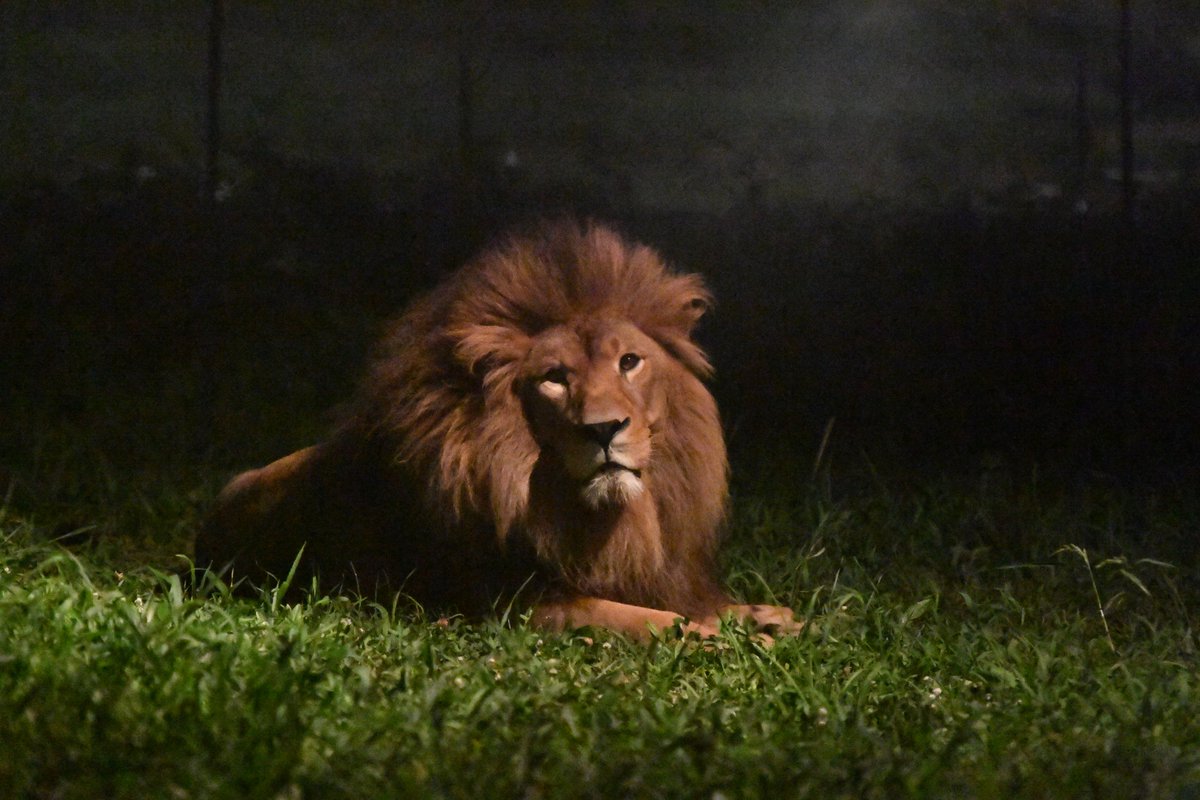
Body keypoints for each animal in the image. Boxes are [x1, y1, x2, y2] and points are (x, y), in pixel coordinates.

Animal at [195, 220, 800, 641]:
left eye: (629, 362)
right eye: (554, 378)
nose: (605, 428)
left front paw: (761, 615)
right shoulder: (518, 603)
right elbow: (643, 619)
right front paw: (720, 637)